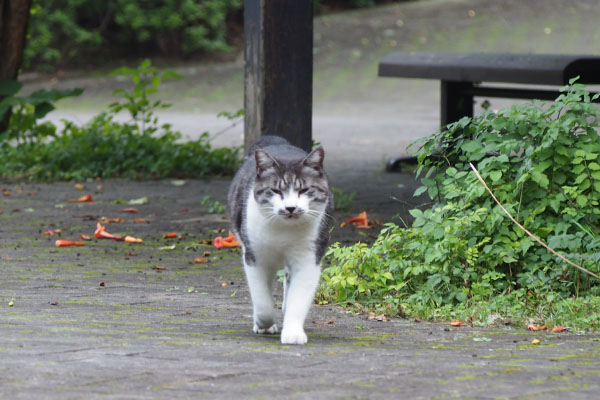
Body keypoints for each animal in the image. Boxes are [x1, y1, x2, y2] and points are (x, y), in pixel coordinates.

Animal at [229, 136, 336, 346]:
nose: (291, 207)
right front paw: (264, 324)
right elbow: (263, 303)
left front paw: (292, 332)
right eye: (276, 190)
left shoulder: (308, 258)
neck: (283, 232)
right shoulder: (254, 257)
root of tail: (276, 139)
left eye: (304, 190)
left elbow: (298, 298)